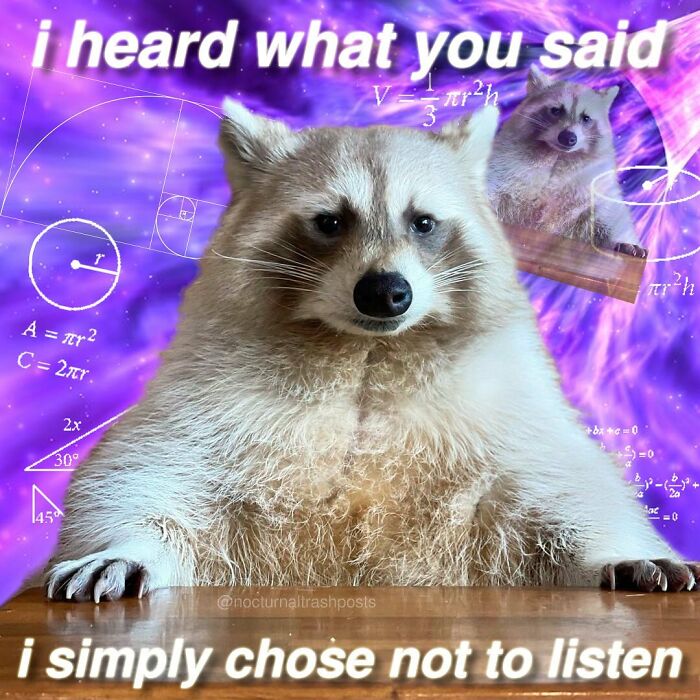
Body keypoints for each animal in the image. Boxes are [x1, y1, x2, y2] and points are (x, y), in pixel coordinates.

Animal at [42, 101, 693, 603]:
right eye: (330, 221)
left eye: (424, 222)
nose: (386, 293)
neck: (366, 351)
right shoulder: (205, 391)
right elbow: (140, 473)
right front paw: (125, 548)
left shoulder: (504, 405)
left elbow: (563, 486)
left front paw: (614, 553)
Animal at [488, 65, 645, 257]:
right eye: (556, 110)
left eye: (586, 118)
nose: (568, 138)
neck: (557, 155)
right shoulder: (503, 164)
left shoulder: (595, 182)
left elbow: (608, 214)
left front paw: (624, 241)